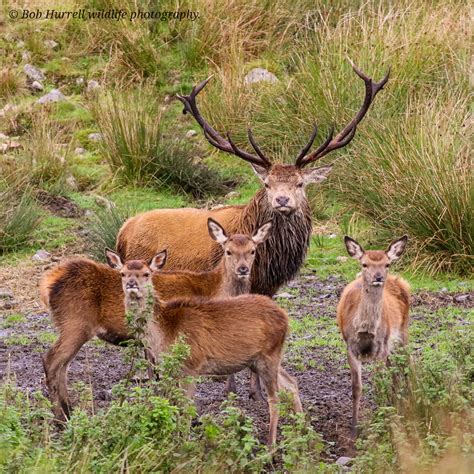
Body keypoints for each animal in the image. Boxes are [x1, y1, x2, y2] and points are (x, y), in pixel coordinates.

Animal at [40, 219, 272, 418]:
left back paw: (69, 410)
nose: (243, 269)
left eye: (252, 250)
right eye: (228, 251)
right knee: (52, 360)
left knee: (63, 366)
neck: (212, 291)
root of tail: (49, 283)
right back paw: (60, 417)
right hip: (75, 323)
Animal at [114, 256, 304, 444]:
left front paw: (183, 443)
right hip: (261, 358)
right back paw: (303, 433)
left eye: (146, 274)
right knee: (291, 383)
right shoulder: (175, 370)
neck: (164, 331)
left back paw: (271, 444)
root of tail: (285, 318)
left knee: (275, 398)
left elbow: (186, 407)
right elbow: (175, 404)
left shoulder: (191, 366)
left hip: (269, 355)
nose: (131, 284)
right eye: (122, 273)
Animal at [116, 61, 390, 298]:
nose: (282, 200)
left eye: (300, 183)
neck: (268, 263)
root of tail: (123, 232)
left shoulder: (266, 288)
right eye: (267, 184)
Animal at [336, 235, 410, 436]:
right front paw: (354, 429)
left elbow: (379, 383)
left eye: (386, 264)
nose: (378, 277)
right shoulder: (350, 347)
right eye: (364, 264)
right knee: (394, 371)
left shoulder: (380, 348)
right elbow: (356, 388)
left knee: (405, 365)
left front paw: (383, 420)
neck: (365, 330)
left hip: (402, 331)